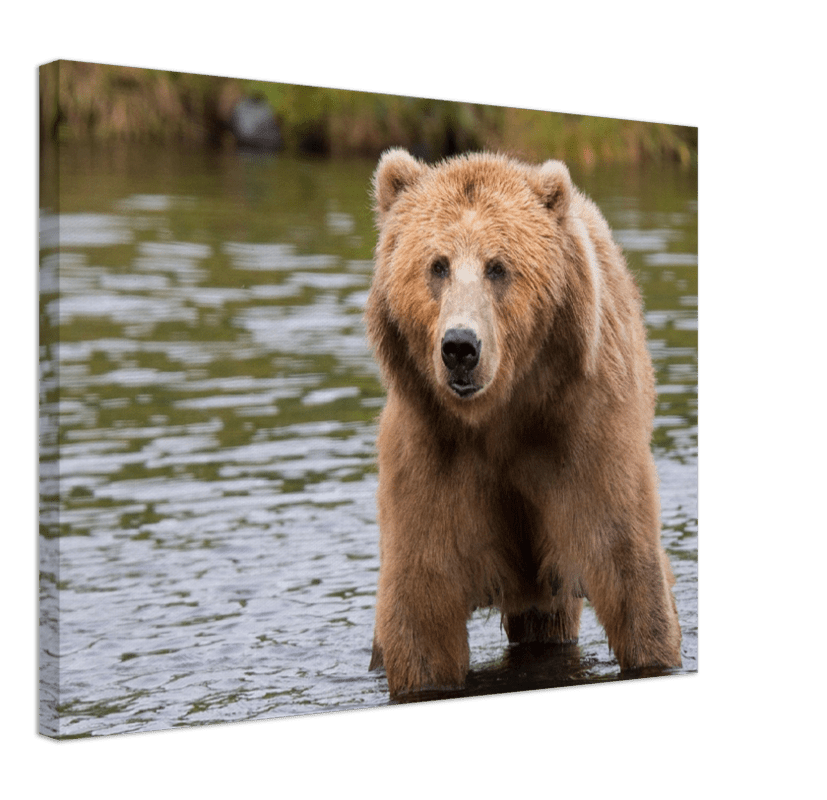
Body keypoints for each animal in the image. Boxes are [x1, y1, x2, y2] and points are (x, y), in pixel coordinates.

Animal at [365, 148, 681, 696]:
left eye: (498, 267)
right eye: (437, 266)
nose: (460, 347)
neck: (501, 415)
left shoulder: (583, 434)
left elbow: (629, 572)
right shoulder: (431, 453)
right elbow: (421, 608)